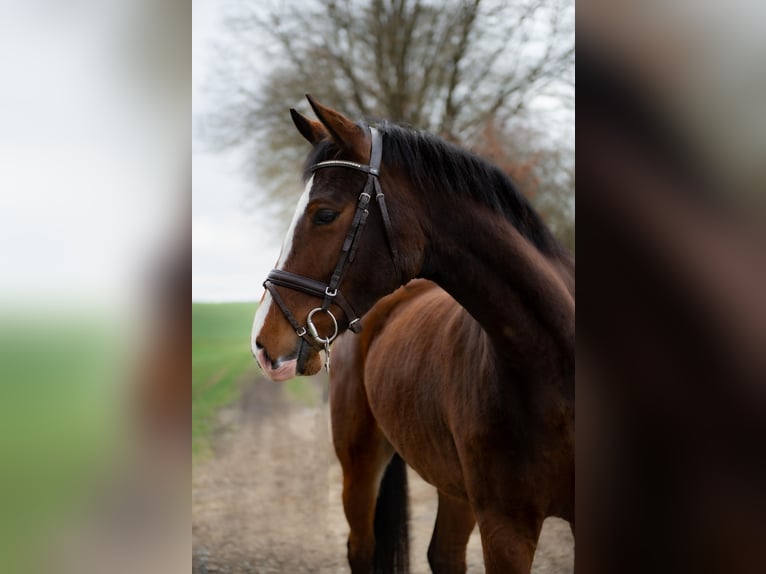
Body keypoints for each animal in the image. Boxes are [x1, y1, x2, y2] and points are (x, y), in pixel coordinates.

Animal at [251, 95, 575, 573]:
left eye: (324, 214)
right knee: (362, 548)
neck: (552, 366)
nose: (262, 342)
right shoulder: (506, 528)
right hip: (361, 463)